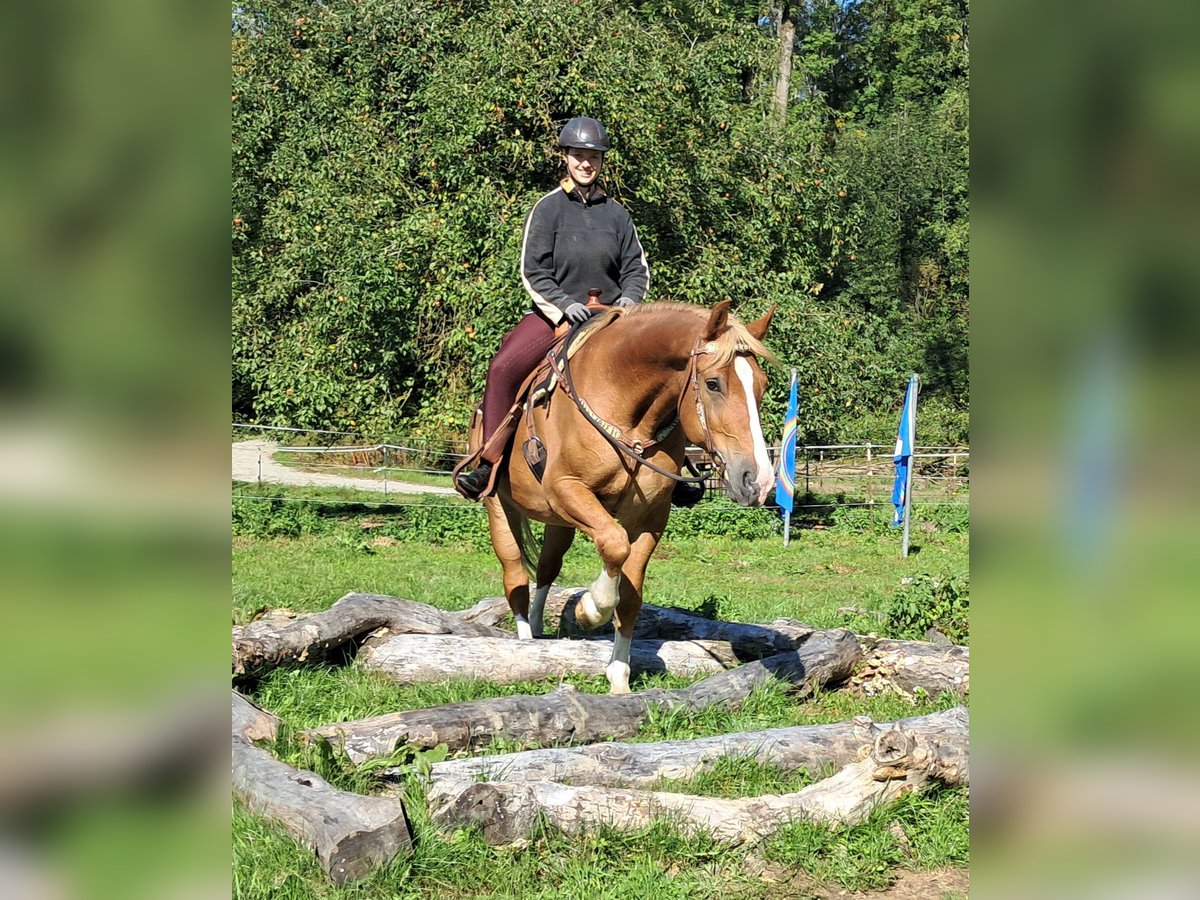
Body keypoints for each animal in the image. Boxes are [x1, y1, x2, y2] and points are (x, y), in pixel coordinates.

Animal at [480, 300, 777, 696]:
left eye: (761, 385)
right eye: (713, 383)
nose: (758, 480)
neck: (626, 412)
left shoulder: (649, 517)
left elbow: (631, 595)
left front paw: (618, 677)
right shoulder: (566, 489)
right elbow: (614, 544)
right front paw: (589, 610)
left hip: (560, 523)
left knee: (546, 567)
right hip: (500, 508)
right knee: (515, 576)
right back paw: (526, 642)